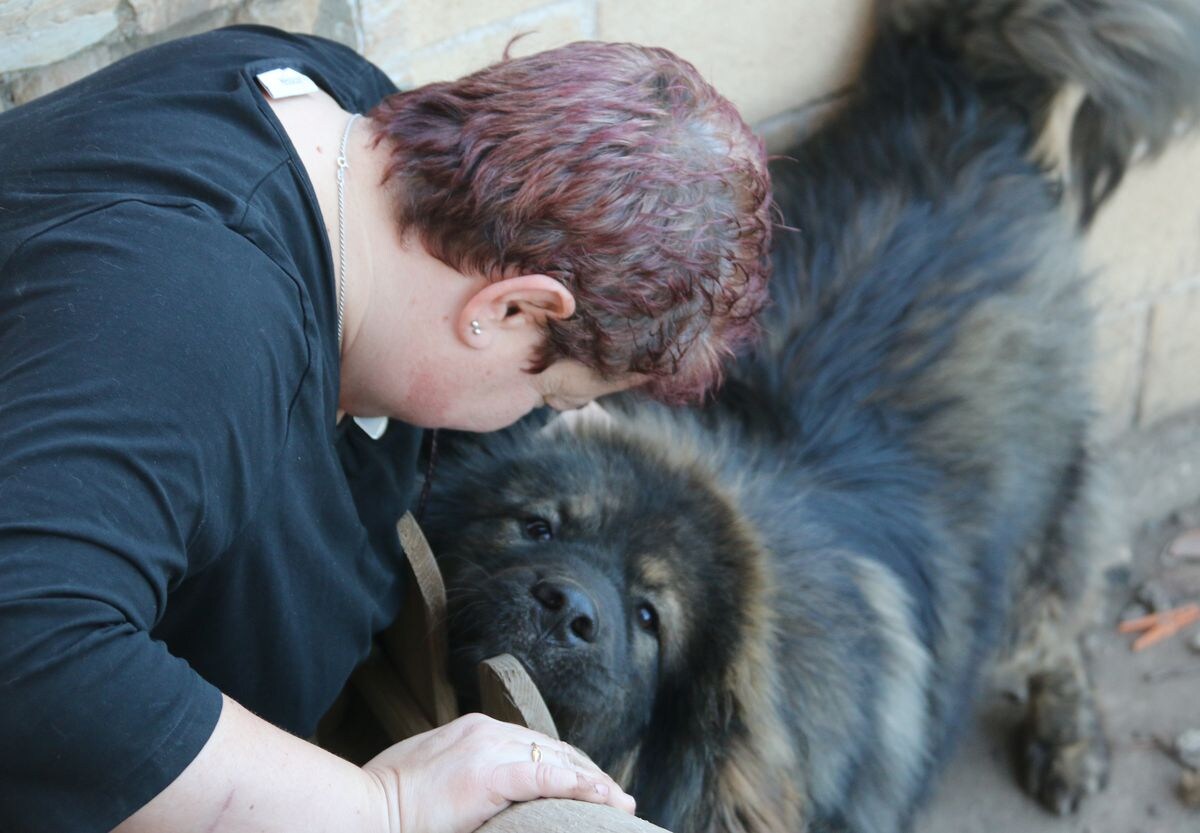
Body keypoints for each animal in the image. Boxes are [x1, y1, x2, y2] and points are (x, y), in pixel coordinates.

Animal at [415, 3, 1200, 830]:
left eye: (650, 615)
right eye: (535, 526)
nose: (567, 604)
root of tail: (955, 101)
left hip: (1032, 546)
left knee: (1064, 624)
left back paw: (1070, 740)